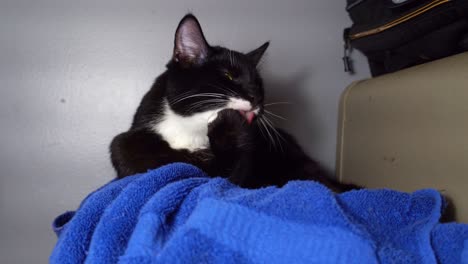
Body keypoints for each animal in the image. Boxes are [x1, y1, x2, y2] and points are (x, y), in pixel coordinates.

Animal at [110, 13, 358, 192]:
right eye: (229, 76)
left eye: (259, 84)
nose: (257, 99)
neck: (190, 131)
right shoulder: (126, 145)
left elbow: (225, 176)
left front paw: (229, 126)